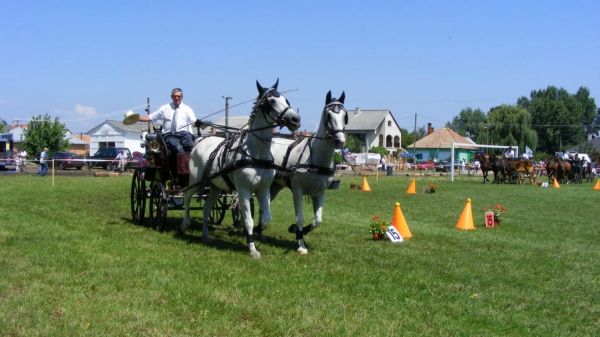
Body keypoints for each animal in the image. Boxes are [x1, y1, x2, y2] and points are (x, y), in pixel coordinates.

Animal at [178, 79, 300, 258]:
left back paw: (205, 235)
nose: (295, 119)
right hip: (195, 180)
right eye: (271, 101)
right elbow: (249, 220)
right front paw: (252, 248)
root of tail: (199, 140)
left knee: (207, 209)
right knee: (187, 196)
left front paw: (255, 233)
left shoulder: (263, 189)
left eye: (286, 100)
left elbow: (265, 217)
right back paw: (184, 224)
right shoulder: (243, 190)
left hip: (215, 187)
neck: (255, 153)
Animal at [260, 90, 350, 253]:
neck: (316, 160)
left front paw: (296, 231)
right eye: (328, 115)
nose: (340, 140)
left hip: (274, 187)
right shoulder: (297, 190)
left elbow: (318, 220)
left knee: (263, 208)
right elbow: (300, 217)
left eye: (345, 116)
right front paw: (300, 243)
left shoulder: (319, 192)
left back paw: (259, 231)